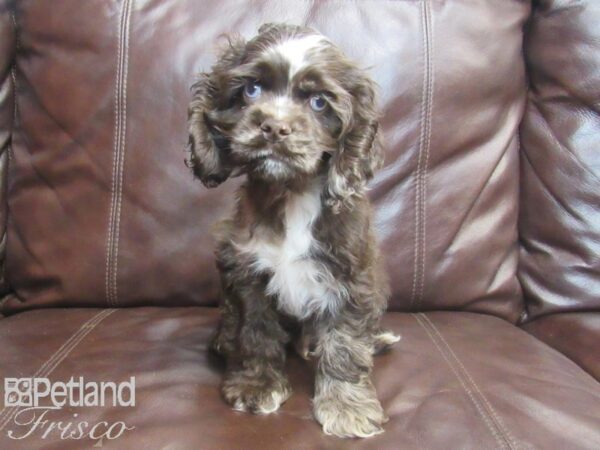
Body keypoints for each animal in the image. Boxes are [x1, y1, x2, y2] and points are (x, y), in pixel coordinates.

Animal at [186, 22, 404, 438]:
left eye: (319, 103)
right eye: (251, 90)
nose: (274, 127)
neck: (292, 192)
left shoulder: (353, 277)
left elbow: (345, 344)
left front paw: (347, 407)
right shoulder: (247, 271)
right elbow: (255, 332)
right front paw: (256, 386)